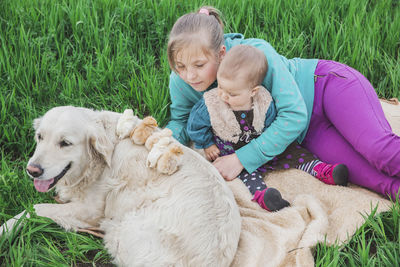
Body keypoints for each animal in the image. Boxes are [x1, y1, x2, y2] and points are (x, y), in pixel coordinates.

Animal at [0, 107, 241, 267]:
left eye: (65, 143)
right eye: (40, 137)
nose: (32, 170)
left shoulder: (89, 210)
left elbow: (35, 208)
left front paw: (5, 229)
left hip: (122, 230)